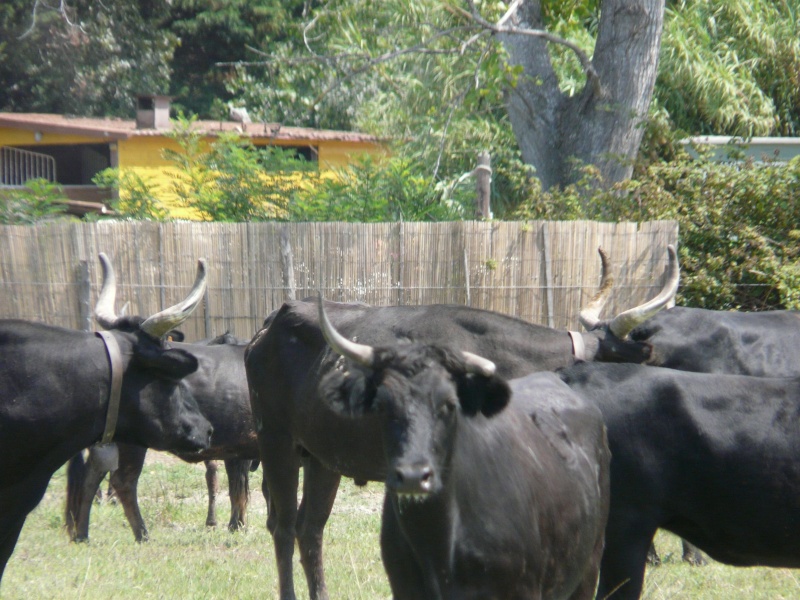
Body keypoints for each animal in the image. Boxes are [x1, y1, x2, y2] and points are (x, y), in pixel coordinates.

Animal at [67, 258, 260, 544]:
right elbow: (240, 490)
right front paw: (237, 526)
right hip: (131, 443)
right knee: (122, 480)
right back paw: (142, 534)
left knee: (93, 474)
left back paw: (82, 534)